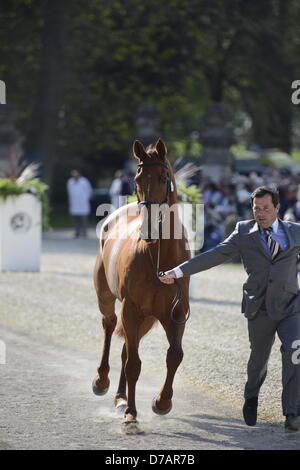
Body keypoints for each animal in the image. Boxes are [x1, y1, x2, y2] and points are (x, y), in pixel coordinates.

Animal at [92, 137, 190, 434]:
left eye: (163, 177)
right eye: (136, 179)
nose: (148, 228)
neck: (159, 256)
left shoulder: (175, 313)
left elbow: (175, 355)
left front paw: (162, 402)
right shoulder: (131, 309)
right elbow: (134, 364)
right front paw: (131, 416)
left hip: (144, 317)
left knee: (126, 346)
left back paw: (121, 397)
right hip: (108, 299)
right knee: (110, 326)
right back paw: (103, 383)